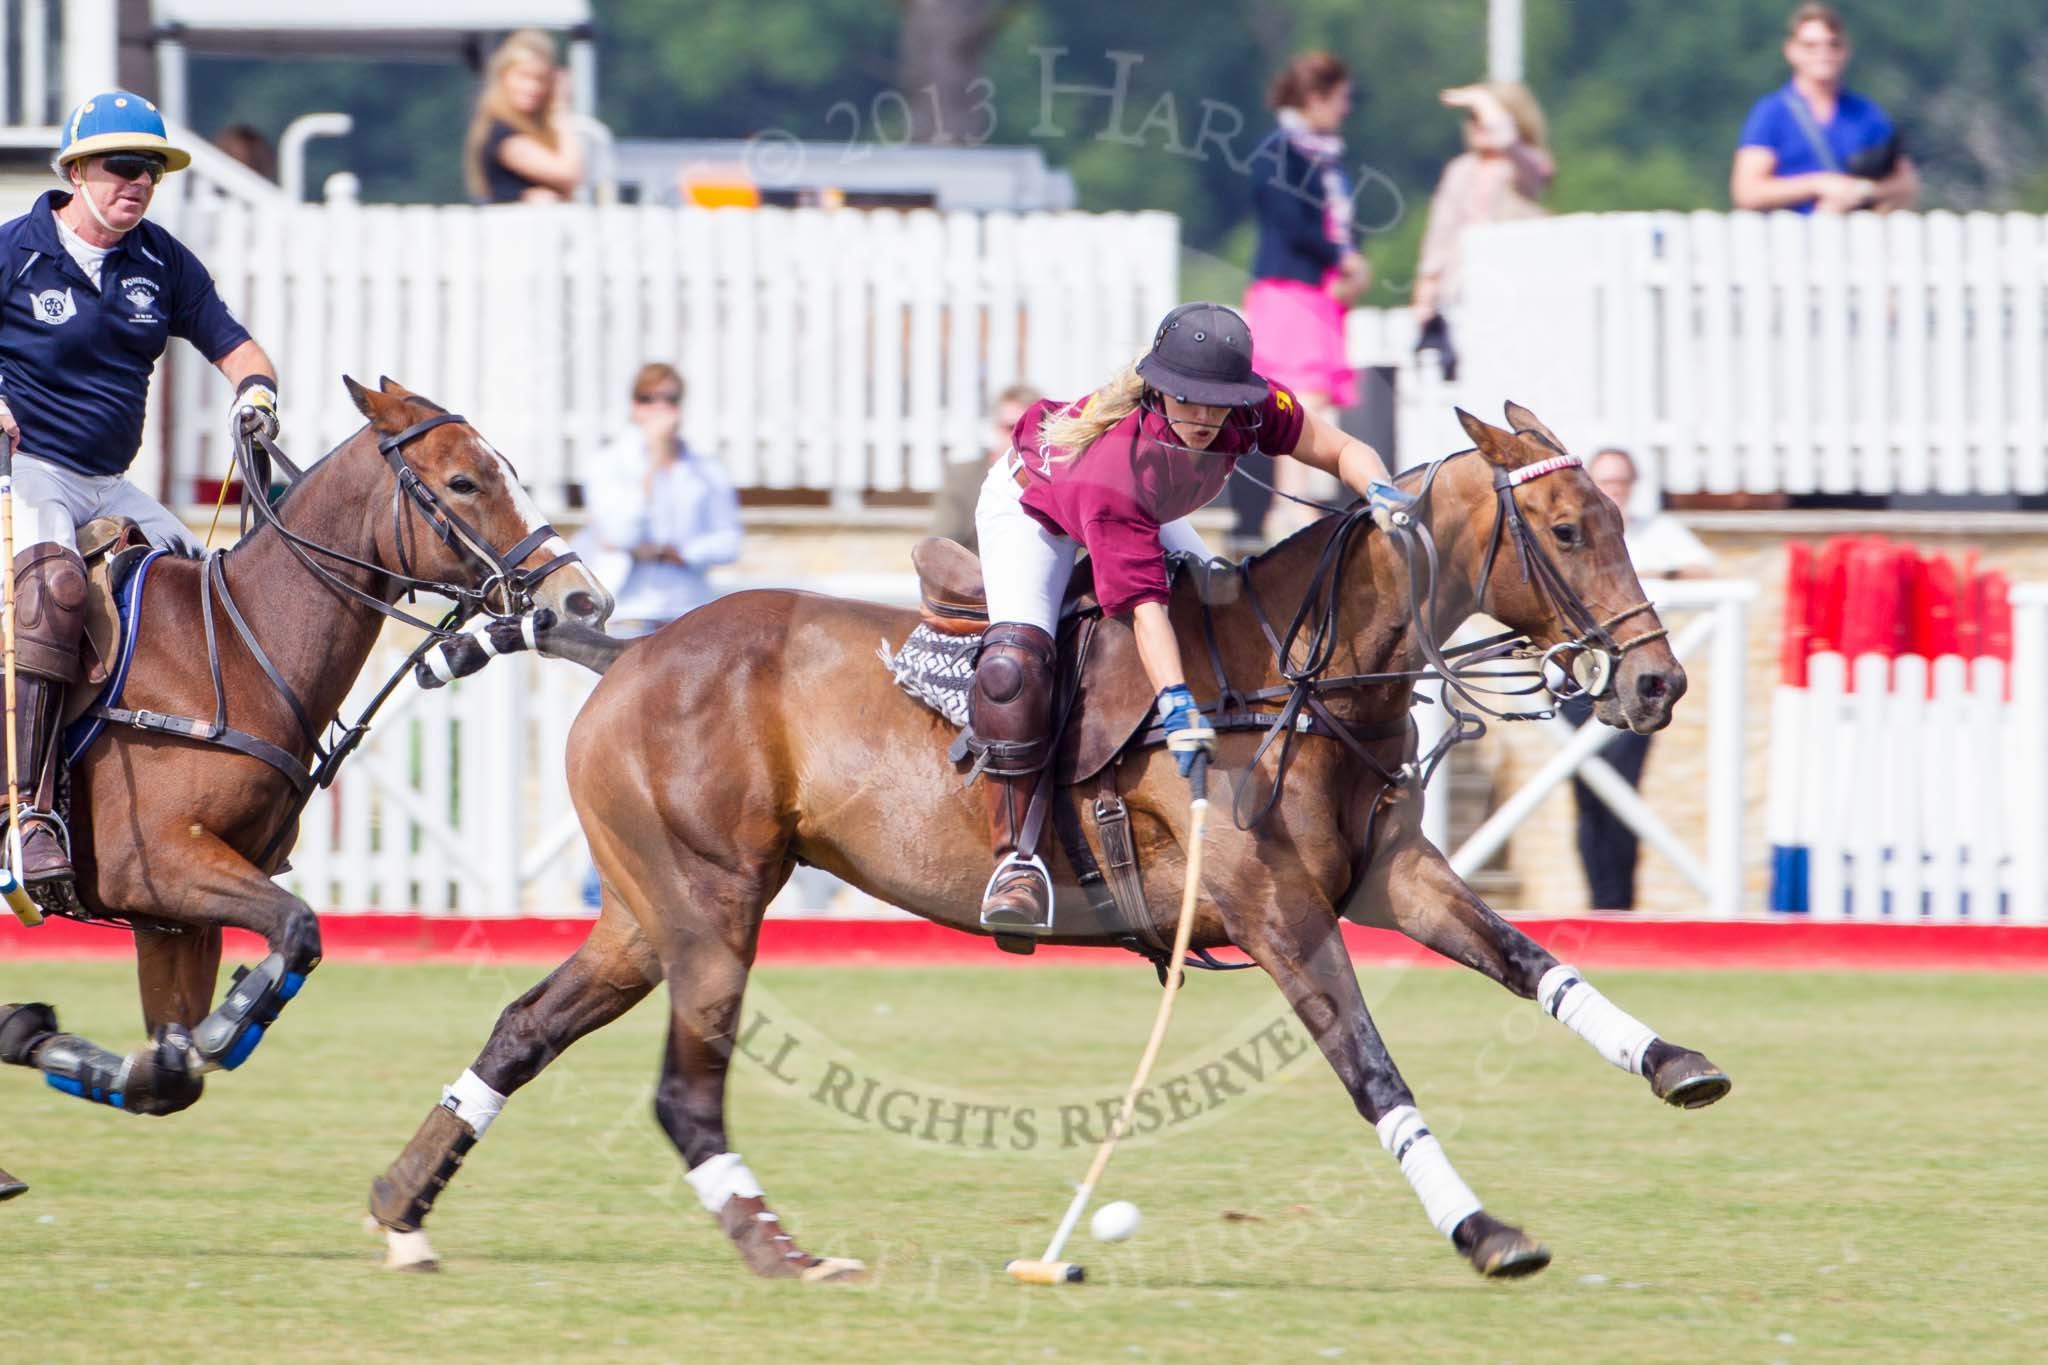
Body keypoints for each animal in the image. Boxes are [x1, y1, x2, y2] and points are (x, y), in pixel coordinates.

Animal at [2, 376, 606, 1186]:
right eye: (463, 482)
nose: (586, 600)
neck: (233, 646)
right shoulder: (151, 862)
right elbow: (298, 929)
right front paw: (228, 1023)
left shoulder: (172, 917)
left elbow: (170, 1072)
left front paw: (33, 1032)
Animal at [368, 403, 1728, 1285]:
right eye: (1564, 528)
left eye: (1617, 514)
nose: (1655, 685)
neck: (1301, 671)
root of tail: (630, 647)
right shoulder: (1278, 910)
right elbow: (1372, 1070)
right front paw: (1484, 1232)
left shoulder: (1390, 877)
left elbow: (1530, 960)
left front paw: (1674, 1064)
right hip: (713, 903)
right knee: (681, 1091)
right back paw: (779, 1250)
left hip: (647, 911)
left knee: (526, 1026)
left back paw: (400, 1205)